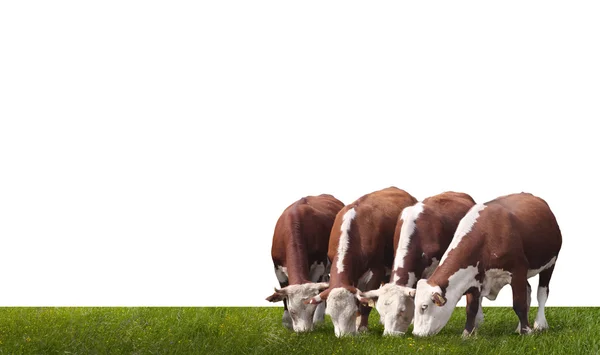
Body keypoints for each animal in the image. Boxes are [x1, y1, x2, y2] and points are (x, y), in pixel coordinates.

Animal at [266, 193, 344, 332]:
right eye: (292, 311)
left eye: (311, 311)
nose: (304, 331)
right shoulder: (278, 269)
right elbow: (283, 295)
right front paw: (287, 323)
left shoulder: (318, 266)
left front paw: (315, 321)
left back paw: (319, 320)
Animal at [304, 188, 418, 338]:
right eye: (332, 316)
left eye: (351, 313)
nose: (344, 336)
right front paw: (358, 327)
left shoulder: (376, 270)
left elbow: (364, 304)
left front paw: (363, 328)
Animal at [412, 193, 564, 338]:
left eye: (424, 307)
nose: (416, 334)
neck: (487, 237)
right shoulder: (473, 277)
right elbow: (471, 308)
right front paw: (467, 334)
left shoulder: (518, 271)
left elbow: (519, 304)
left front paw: (527, 332)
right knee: (528, 291)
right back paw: (519, 327)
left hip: (550, 264)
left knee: (542, 293)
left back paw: (540, 324)